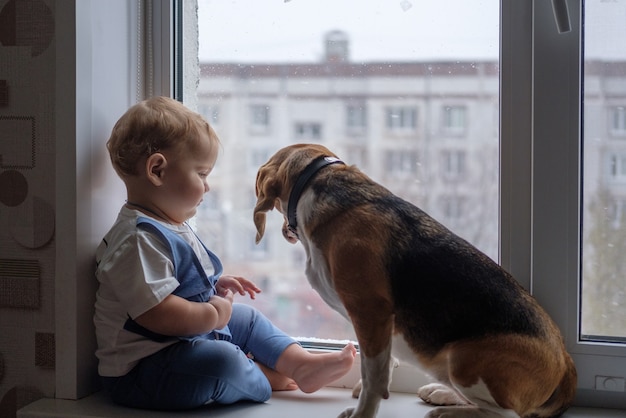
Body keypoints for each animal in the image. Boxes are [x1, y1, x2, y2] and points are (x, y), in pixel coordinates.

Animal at [252, 145, 576, 418]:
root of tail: (564, 358)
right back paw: (443, 394)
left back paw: (450, 411)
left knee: (507, 414)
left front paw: (362, 413)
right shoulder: (381, 326)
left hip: (463, 360)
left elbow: (374, 378)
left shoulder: (370, 311)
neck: (317, 182)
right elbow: (383, 367)